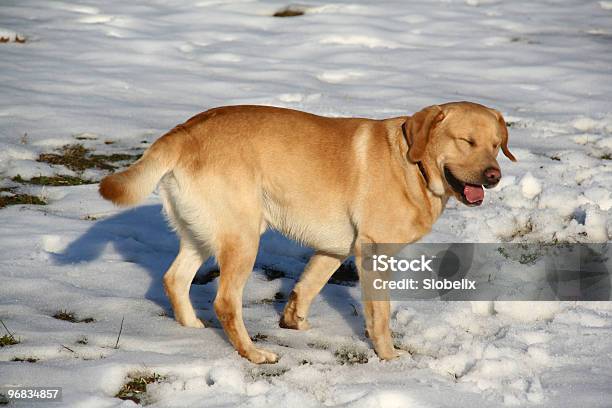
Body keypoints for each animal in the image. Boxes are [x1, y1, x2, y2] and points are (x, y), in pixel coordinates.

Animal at [100, 101, 516, 364]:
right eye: (466, 141)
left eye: (497, 145)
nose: (494, 175)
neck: (411, 165)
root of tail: (184, 131)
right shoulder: (373, 252)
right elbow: (379, 316)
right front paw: (389, 356)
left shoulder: (335, 249)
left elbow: (307, 287)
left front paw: (293, 322)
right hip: (243, 239)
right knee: (225, 303)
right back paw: (253, 354)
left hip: (202, 234)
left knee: (174, 279)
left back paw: (191, 330)